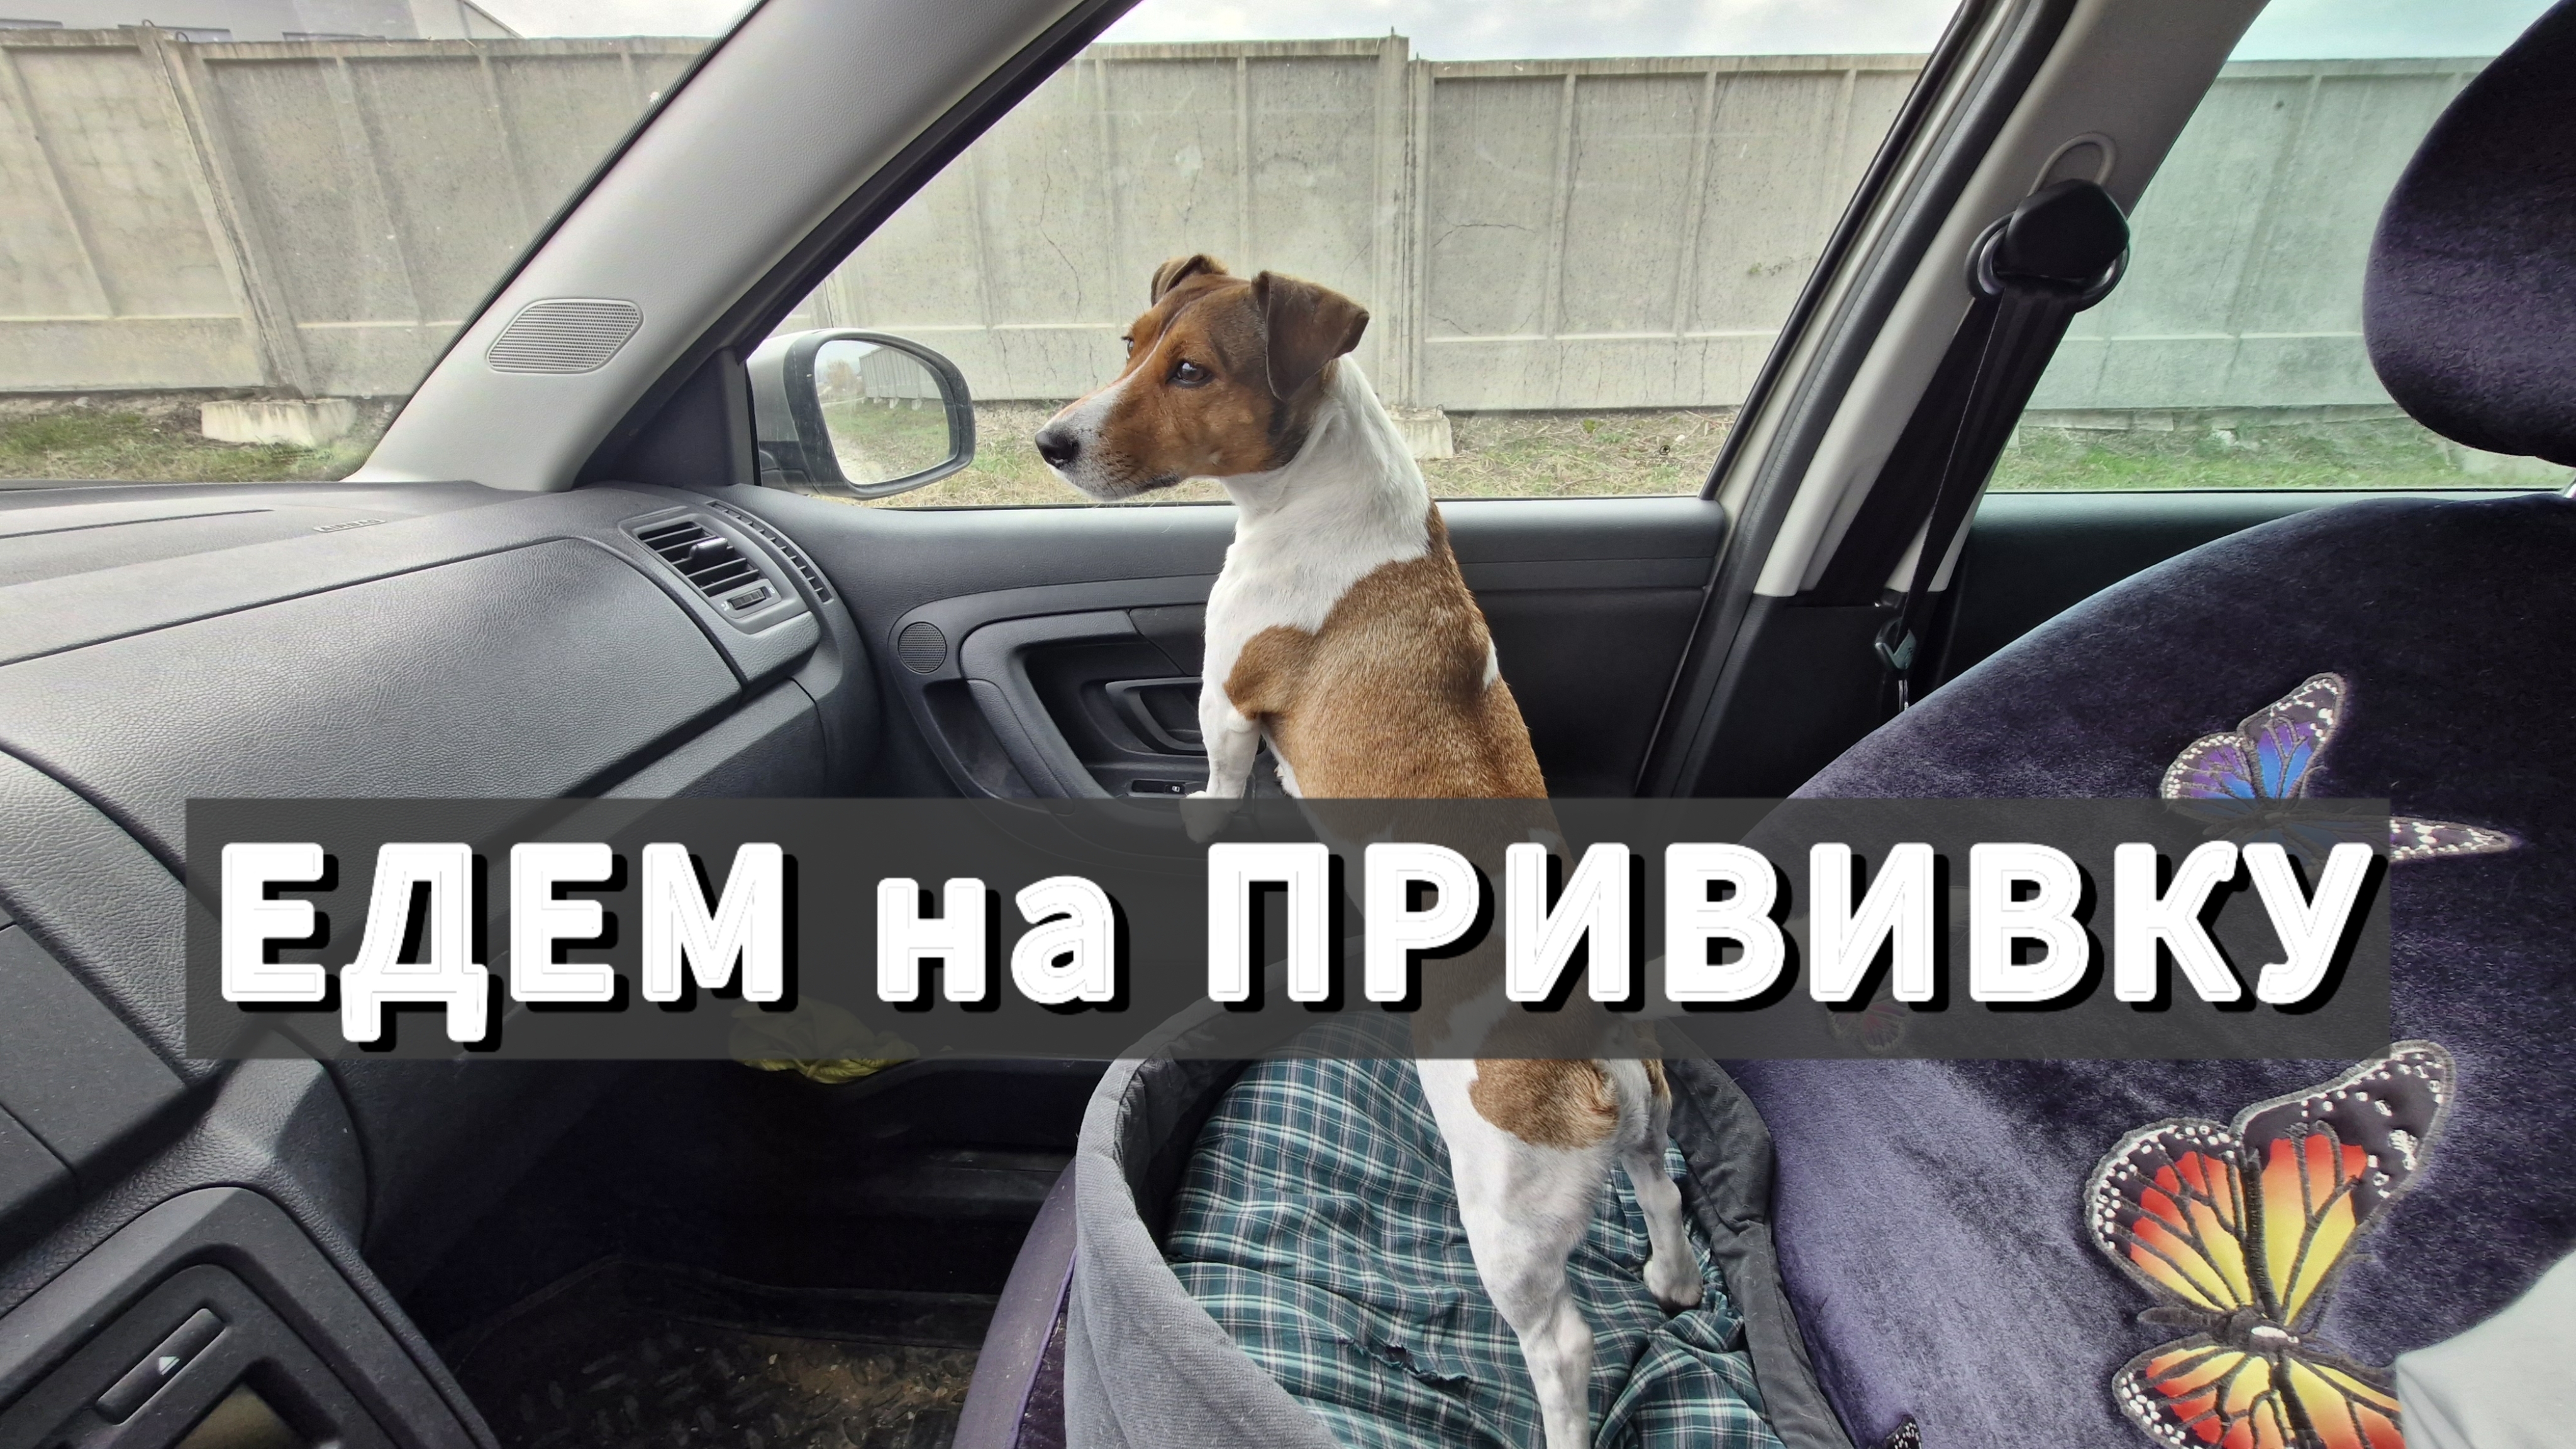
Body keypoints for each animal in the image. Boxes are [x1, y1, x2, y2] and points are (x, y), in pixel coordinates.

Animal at [1037, 254, 1698, 1449]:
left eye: (1191, 371)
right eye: (1131, 345)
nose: (1049, 442)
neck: (1321, 486)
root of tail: (1594, 1053)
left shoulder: (1223, 705)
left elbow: (1219, 784)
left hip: (1505, 1217)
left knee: (1563, 1345)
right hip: (1647, 1128)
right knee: (1665, 1193)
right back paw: (1673, 1279)